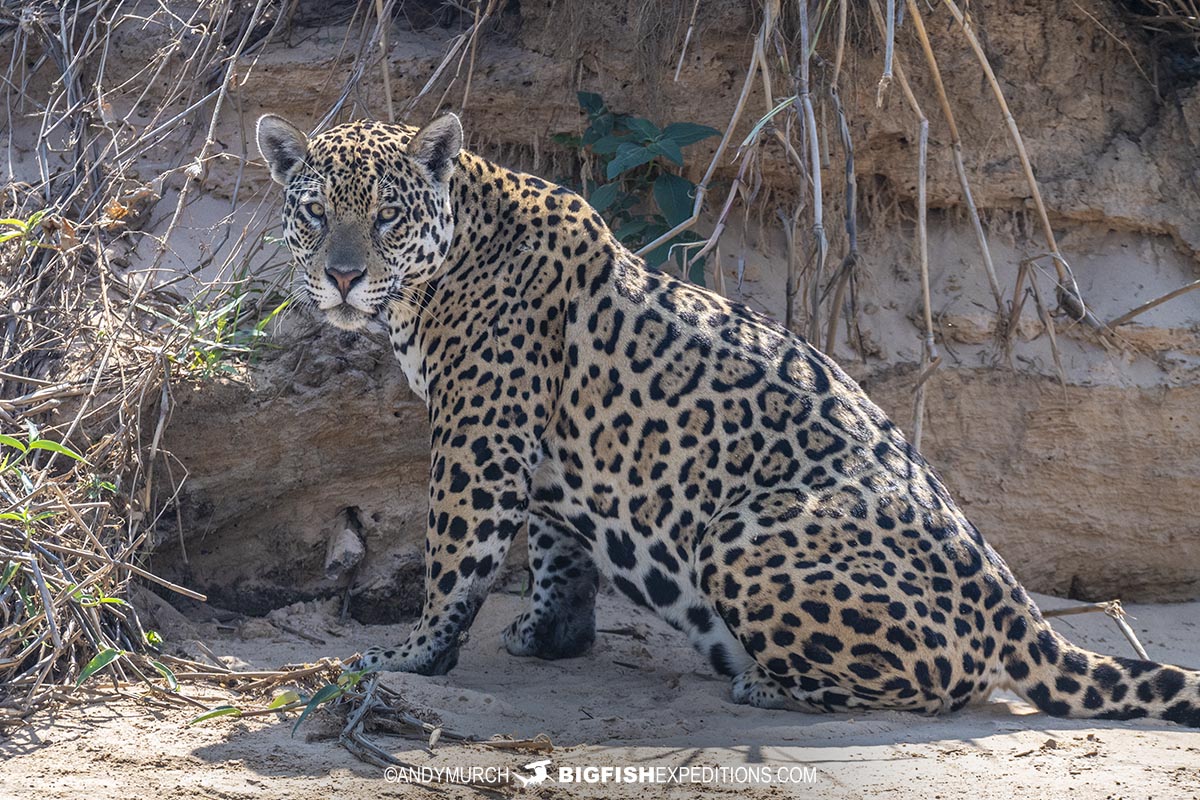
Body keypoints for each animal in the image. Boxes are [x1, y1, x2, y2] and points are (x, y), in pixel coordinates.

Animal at [256, 111, 1200, 726]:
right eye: (316, 213)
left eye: (386, 216)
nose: (341, 277)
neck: (445, 263)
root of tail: (1016, 607)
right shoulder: (543, 447)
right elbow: (559, 550)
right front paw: (550, 634)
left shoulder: (479, 435)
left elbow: (455, 557)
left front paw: (411, 655)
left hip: (743, 536)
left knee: (945, 685)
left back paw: (766, 683)